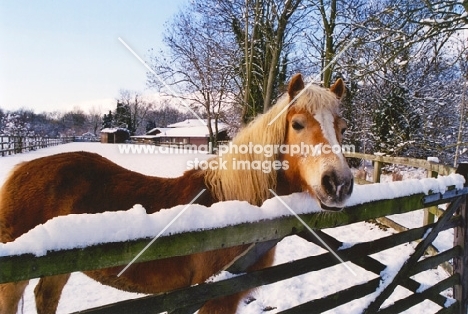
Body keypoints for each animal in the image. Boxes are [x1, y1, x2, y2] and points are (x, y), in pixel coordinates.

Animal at [0, 73, 352, 312]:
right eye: (297, 124)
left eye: (343, 127)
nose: (339, 183)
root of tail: (21, 170)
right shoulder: (215, 297)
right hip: (13, 281)